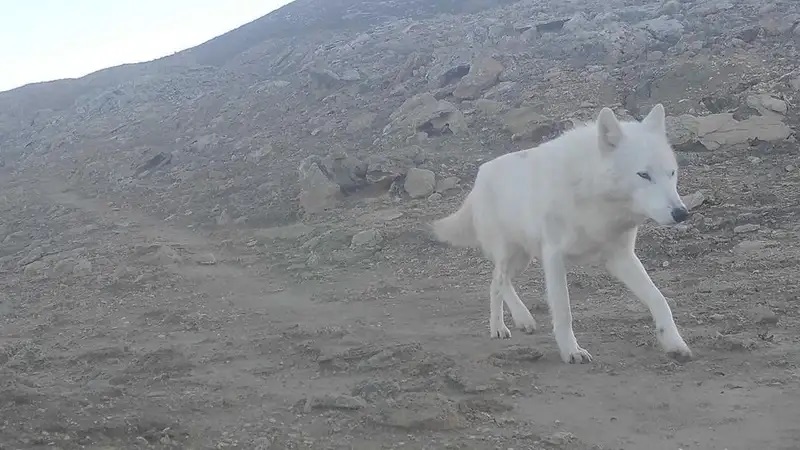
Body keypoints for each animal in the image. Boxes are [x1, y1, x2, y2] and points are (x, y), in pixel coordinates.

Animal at [432, 103, 692, 364]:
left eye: (671, 173)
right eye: (643, 175)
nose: (681, 213)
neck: (593, 194)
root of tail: (480, 175)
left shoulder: (621, 258)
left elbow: (659, 299)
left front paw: (674, 343)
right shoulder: (554, 256)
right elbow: (563, 310)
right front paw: (572, 351)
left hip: (522, 259)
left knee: (496, 282)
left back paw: (510, 324)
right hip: (510, 254)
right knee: (499, 279)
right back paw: (512, 323)